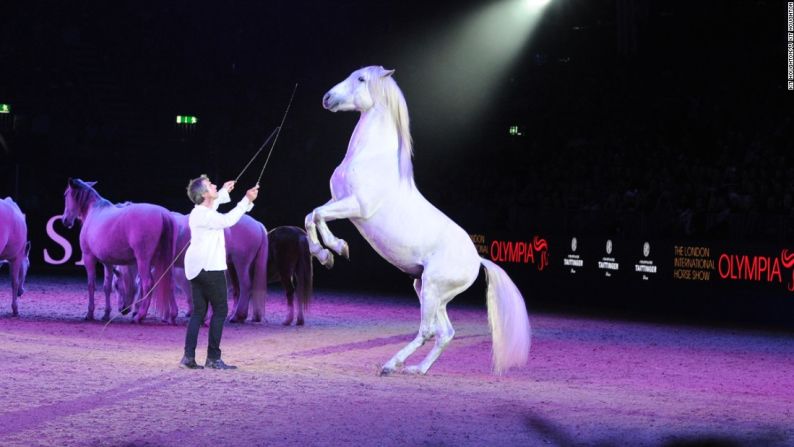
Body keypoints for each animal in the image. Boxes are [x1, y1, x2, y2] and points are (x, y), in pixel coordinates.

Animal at [62, 180, 175, 324]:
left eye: (66, 195)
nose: (65, 220)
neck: (94, 210)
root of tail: (162, 214)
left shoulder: (88, 257)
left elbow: (91, 285)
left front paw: (90, 314)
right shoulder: (107, 263)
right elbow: (106, 287)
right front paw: (106, 314)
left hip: (143, 260)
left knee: (147, 283)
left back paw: (140, 316)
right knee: (167, 283)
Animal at [306, 65, 528, 374]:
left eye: (361, 79)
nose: (327, 98)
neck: (371, 158)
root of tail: (477, 259)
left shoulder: (356, 207)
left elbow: (316, 215)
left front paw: (335, 249)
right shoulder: (338, 201)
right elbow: (311, 216)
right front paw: (328, 254)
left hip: (434, 288)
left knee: (427, 331)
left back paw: (391, 365)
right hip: (428, 289)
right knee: (444, 333)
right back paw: (417, 370)